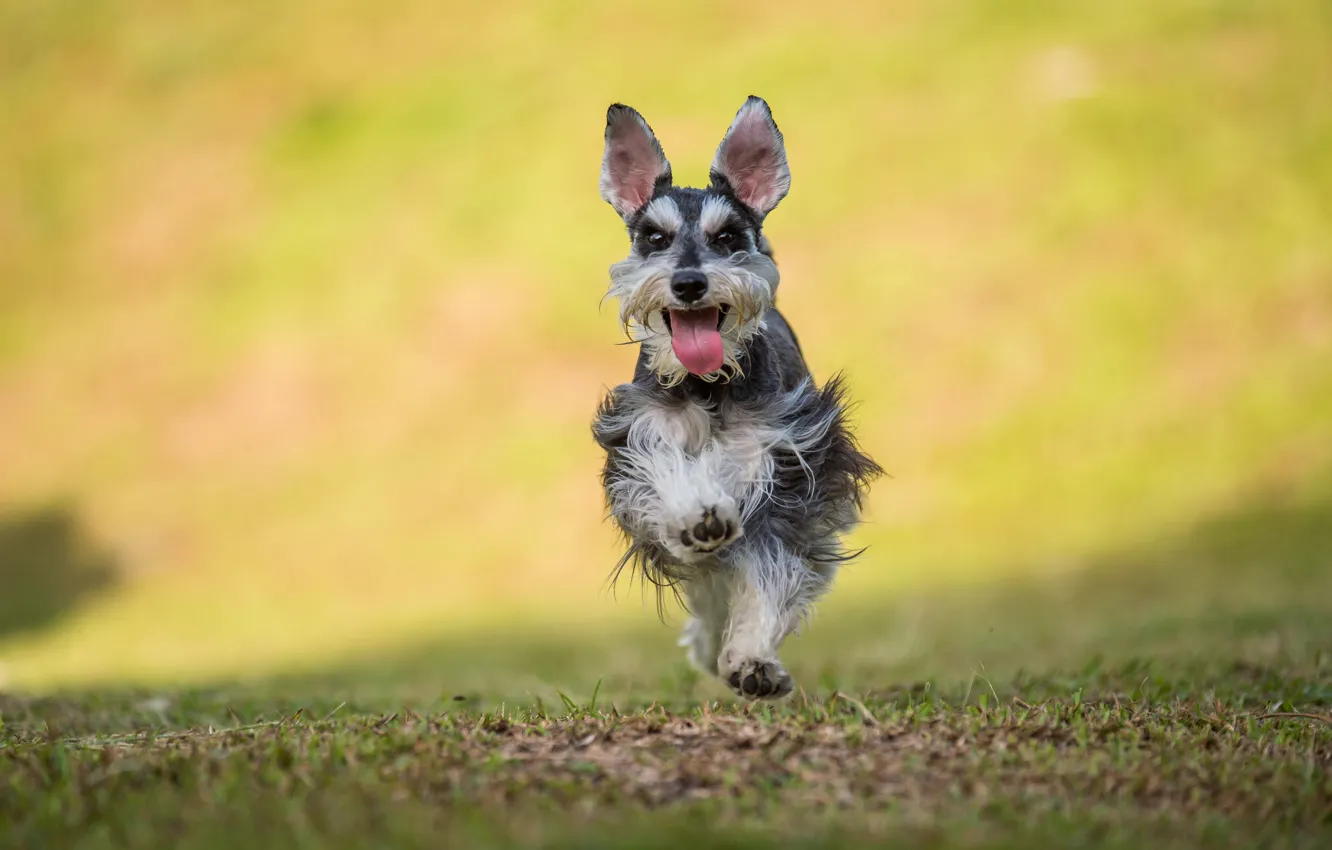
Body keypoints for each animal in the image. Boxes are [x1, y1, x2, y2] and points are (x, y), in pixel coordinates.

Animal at [591, 96, 879, 703]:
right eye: (654, 238)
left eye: (727, 237)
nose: (689, 283)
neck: (708, 384)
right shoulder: (640, 439)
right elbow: (671, 479)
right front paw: (696, 514)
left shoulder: (785, 473)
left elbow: (768, 573)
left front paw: (751, 658)